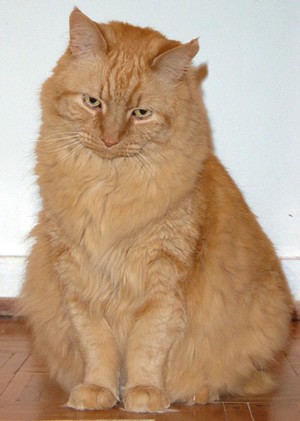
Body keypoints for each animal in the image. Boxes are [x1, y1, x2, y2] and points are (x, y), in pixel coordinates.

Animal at [20, 8, 292, 412]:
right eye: (93, 102)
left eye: (141, 113)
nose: (110, 139)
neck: (108, 188)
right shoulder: (80, 284)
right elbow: (97, 347)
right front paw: (97, 391)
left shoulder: (162, 284)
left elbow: (147, 347)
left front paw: (144, 394)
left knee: (231, 378)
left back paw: (199, 393)